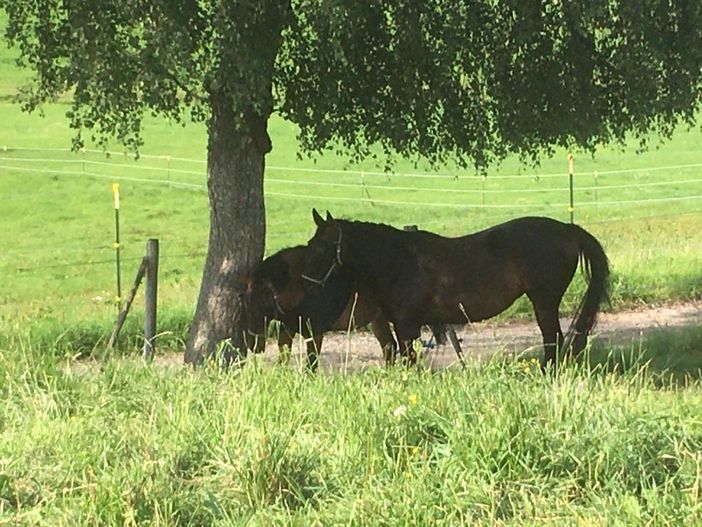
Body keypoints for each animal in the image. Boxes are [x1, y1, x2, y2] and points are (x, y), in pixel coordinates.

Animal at [242, 244, 398, 372]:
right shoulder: (288, 327)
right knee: (389, 345)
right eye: (246, 304)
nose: (253, 346)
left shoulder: (315, 332)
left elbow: (311, 364)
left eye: (259, 304)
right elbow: (283, 356)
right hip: (378, 318)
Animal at [306, 208, 612, 370]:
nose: (307, 281)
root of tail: (567, 230)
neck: (399, 261)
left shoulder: (406, 326)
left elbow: (409, 360)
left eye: (320, 248)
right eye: (311, 245)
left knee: (553, 339)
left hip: (544, 301)